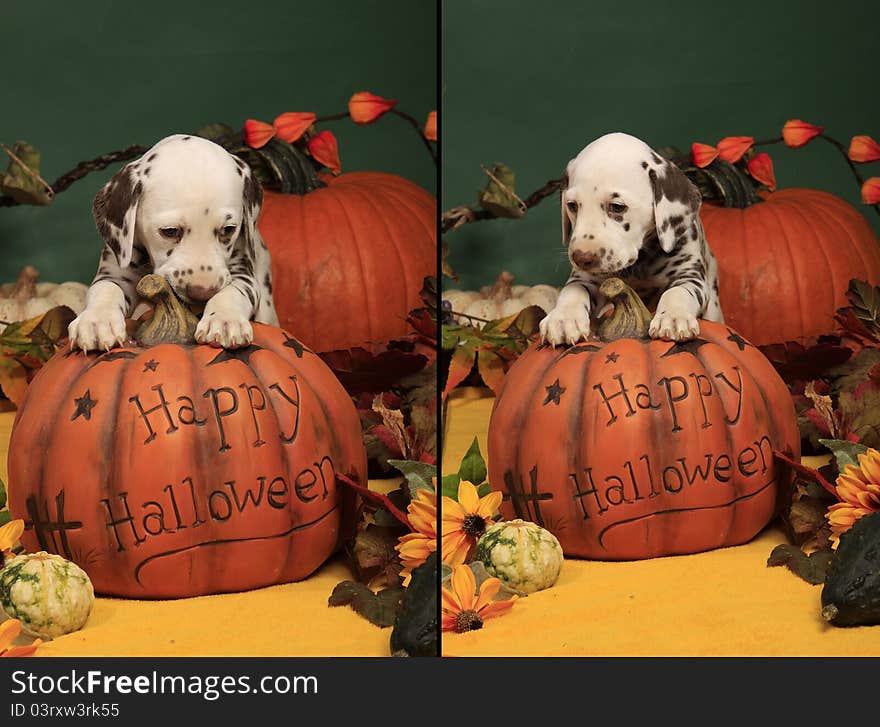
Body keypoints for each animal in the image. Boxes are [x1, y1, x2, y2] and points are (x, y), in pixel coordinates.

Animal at [69, 136, 278, 356]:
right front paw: (96, 321)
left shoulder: (243, 272)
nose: (202, 293)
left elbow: (233, 291)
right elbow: (105, 289)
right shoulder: (116, 272)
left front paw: (225, 319)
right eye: (169, 231)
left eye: (228, 229)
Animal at [544, 132, 720, 348]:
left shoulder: (690, 276)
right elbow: (572, 290)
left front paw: (672, 317)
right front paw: (563, 318)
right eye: (572, 205)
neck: (640, 264)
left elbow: (677, 292)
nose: (581, 258)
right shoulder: (585, 278)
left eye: (617, 207)